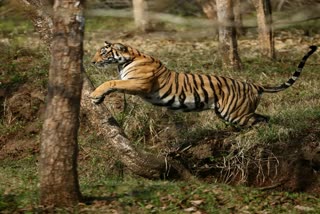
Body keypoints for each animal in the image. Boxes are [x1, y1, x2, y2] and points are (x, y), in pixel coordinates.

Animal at [89, 42, 318, 127]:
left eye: (103, 53)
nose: (91, 62)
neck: (128, 59)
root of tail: (255, 86)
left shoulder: (139, 84)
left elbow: (111, 81)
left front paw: (94, 95)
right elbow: (114, 83)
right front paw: (98, 98)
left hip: (235, 113)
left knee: (260, 121)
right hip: (231, 111)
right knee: (262, 118)